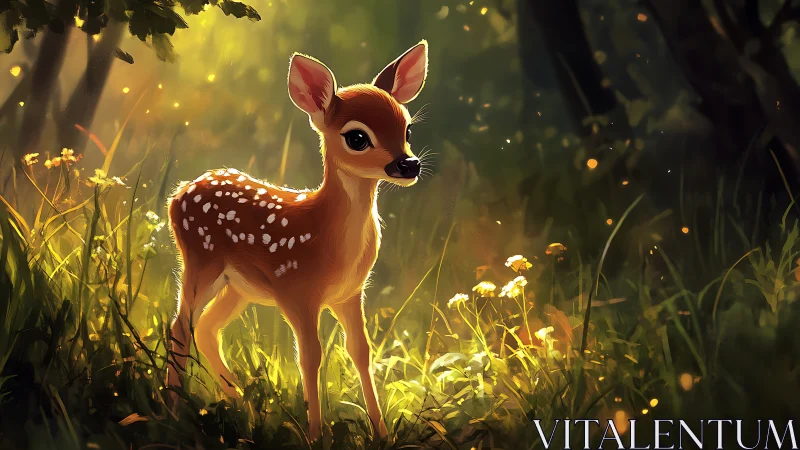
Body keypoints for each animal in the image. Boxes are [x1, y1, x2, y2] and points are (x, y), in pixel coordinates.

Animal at [166, 41, 429, 441]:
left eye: (408, 129)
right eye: (357, 137)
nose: (409, 164)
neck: (327, 235)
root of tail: (178, 193)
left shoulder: (350, 293)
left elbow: (360, 350)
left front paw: (381, 433)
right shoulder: (297, 292)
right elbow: (309, 357)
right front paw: (316, 436)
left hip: (238, 285)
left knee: (207, 328)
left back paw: (245, 405)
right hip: (200, 262)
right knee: (180, 327)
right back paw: (172, 411)